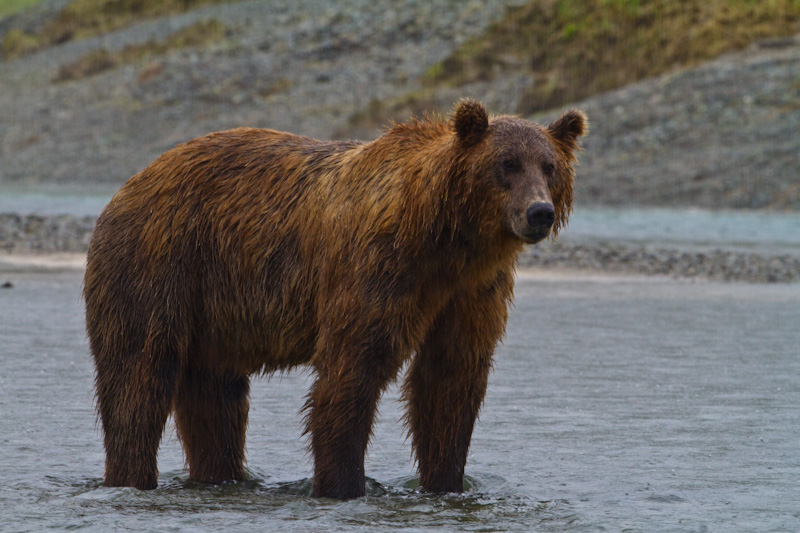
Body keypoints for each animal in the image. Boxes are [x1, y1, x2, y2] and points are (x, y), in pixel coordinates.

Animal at [84, 98, 588, 498]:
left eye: (549, 166)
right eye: (507, 164)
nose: (539, 212)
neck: (445, 239)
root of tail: (130, 184)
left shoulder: (471, 291)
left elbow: (451, 379)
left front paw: (446, 482)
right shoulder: (378, 270)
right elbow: (352, 372)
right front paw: (343, 484)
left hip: (214, 310)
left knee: (215, 397)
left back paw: (219, 476)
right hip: (159, 263)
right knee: (139, 375)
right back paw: (131, 477)